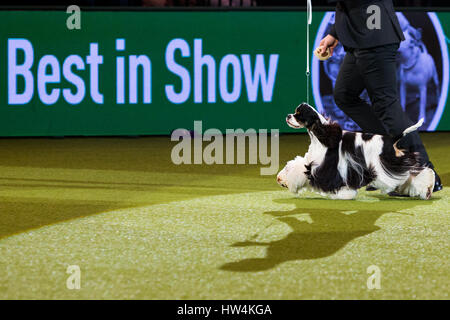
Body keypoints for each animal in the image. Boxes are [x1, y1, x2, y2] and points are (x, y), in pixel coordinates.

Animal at [278, 103, 436, 200]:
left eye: (299, 114)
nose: (288, 116)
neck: (321, 134)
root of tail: (391, 139)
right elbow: (297, 167)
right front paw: (282, 179)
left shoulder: (324, 165)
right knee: (414, 174)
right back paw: (426, 189)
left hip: (385, 166)